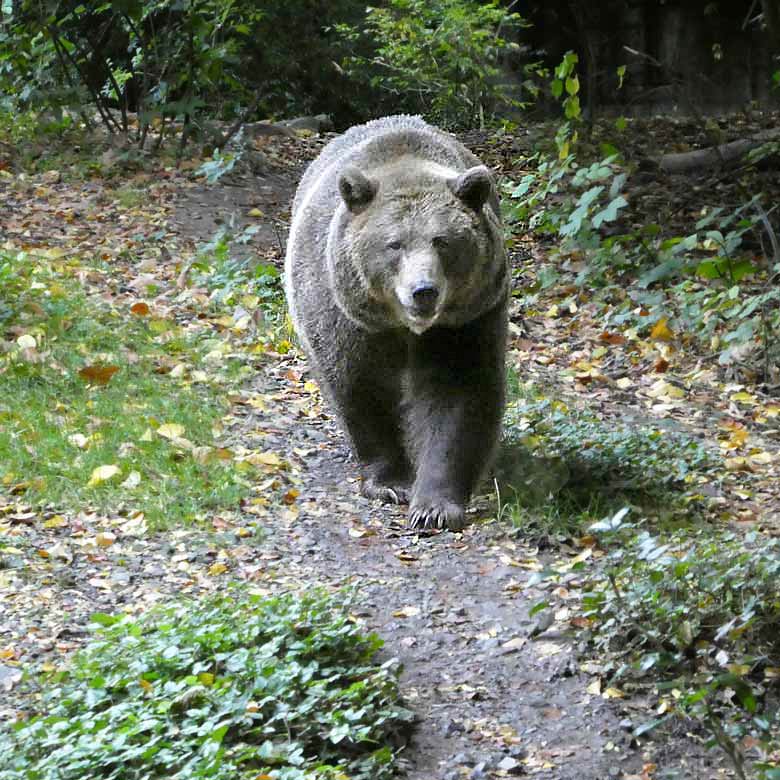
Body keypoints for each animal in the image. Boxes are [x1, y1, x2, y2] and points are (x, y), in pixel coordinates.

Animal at [284, 116, 508, 532]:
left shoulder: (466, 319)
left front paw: (435, 506)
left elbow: (457, 395)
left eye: (442, 241)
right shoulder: (348, 319)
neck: (403, 327)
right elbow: (360, 388)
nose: (424, 291)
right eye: (395, 243)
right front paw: (391, 483)